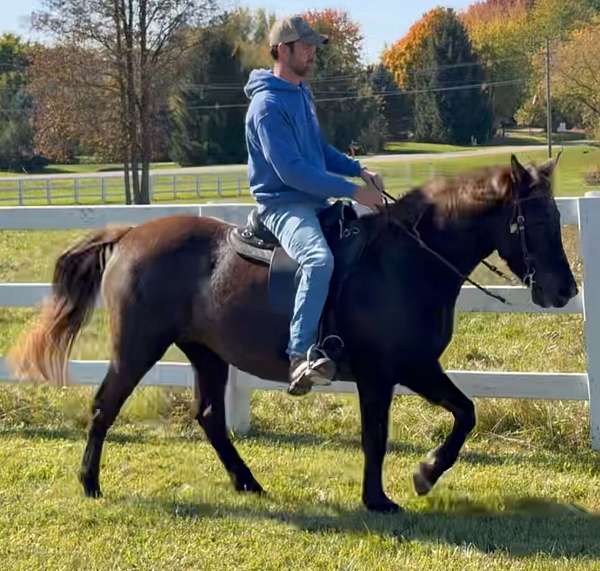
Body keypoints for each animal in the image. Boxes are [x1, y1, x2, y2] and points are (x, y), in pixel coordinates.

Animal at [9, 155, 580, 512]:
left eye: (557, 217)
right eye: (533, 222)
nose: (565, 290)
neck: (406, 260)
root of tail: (130, 234)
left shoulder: (418, 366)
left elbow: (466, 413)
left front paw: (425, 473)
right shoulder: (382, 374)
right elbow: (377, 436)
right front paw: (380, 498)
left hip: (207, 354)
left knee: (210, 417)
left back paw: (247, 481)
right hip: (136, 349)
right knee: (104, 406)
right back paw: (89, 482)